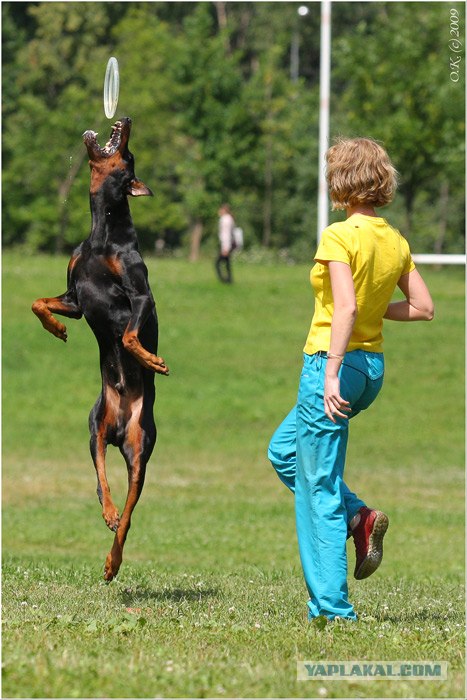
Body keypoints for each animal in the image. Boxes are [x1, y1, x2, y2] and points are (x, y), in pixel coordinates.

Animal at [31, 119, 170, 580]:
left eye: (128, 154)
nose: (125, 121)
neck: (101, 235)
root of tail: (123, 425)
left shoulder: (141, 298)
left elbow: (128, 335)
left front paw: (151, 360)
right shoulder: (76, 296)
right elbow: (40, 303)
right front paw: (56, 329)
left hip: (141, 450)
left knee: (129, 513)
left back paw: (114, 559)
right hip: (95, 427)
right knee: (101, 481)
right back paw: (107, 514)